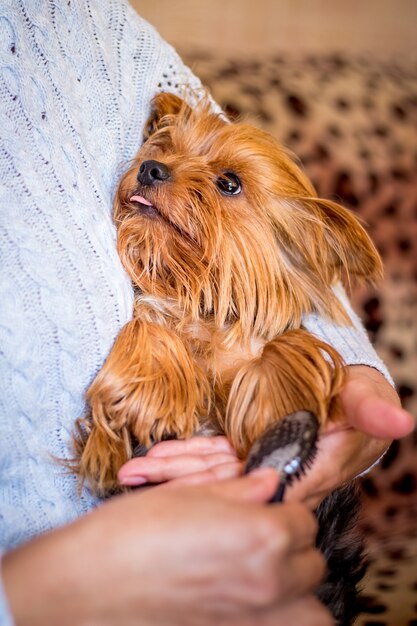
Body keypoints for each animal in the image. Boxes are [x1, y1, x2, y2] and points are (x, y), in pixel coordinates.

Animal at [72, 92, 380, 624]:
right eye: (166, 150)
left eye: (229, 183)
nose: (150, 168)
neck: (203, 307)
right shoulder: (160, 312)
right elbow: (148, 322)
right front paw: (145, 398)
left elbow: (279, 346)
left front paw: (278, 407)